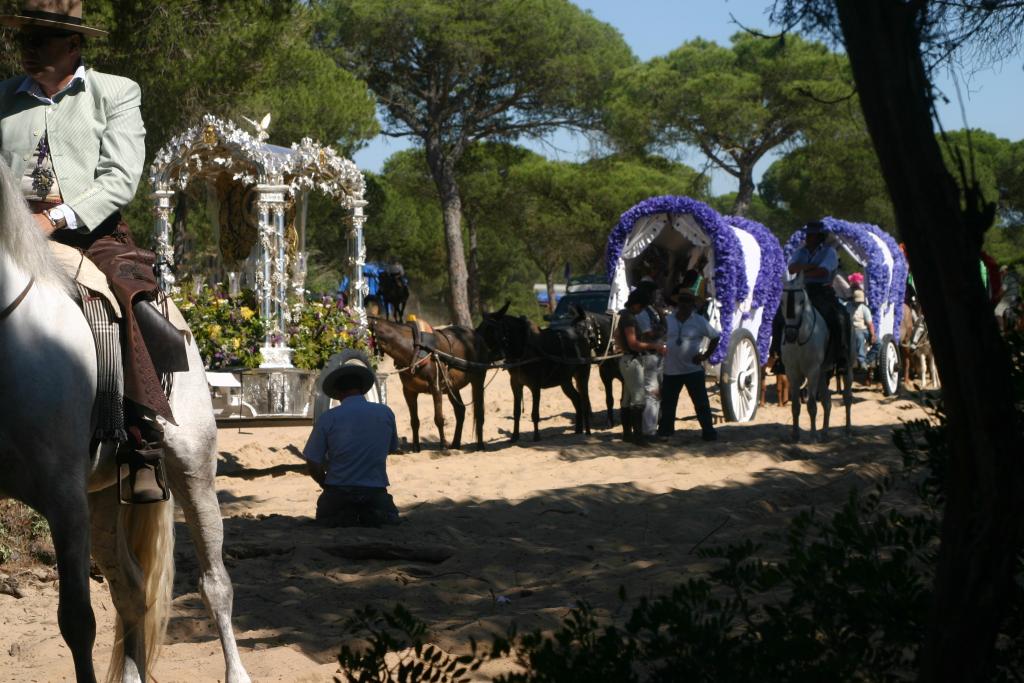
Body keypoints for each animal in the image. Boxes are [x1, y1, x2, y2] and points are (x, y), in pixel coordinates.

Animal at [0, 162, 249, 679]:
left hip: (192, 472)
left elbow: (77, 621)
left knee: (215, 584)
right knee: (132, 591)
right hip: (102, 504)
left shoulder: (64, 499)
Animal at [368, 319, 487, 450]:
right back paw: (455, 444)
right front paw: (416, 446)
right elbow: (414, 421)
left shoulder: (436, 387)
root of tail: (476, 335)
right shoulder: (409, 391)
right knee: (460, 411)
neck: (415, 349)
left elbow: (439, 418)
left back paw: (480, 445)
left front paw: (443, 445)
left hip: (478, 379)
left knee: (479, 412)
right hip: (452, 387)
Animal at [477, 303, 593, 444]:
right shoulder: (515, 383)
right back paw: (578, 430)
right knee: (577, 399)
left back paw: (587, 432)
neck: (521, 350)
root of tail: (582, 336)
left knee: (585, 401)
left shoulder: (535, 385)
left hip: (582, 376)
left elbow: (535, 413)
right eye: (479, 328)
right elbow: (516, 412)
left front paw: (536, 436)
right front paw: (514, 437)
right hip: (565, 381)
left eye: (490, 330)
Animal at [778, 278, 851, 444]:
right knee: (827, 401)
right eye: (782, 301)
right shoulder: (792, 372)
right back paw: (824, 432)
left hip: (846, 368)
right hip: (822, 374)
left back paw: (848, 430)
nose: (790, 334)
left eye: (801, 301)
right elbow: (795, 406)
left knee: (847, 398)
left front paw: (812, 436)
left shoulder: (812, 371)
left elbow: (811, 404)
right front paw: (795, 435)